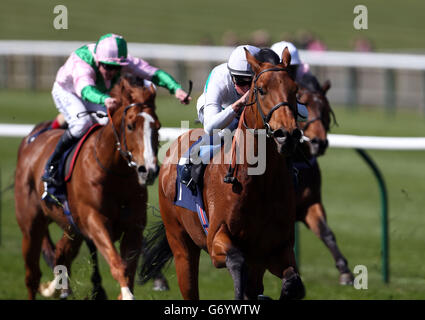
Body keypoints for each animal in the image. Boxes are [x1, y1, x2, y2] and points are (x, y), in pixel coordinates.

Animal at [14, 75, 161, 300]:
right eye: (130, 126)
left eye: (157, 127)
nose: (149, 170)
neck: (115, 174)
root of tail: (30, 139)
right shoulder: (95, 221)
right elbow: (118, 265)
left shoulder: (134, 227)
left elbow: (128, 270)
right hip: (31, 225)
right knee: (32, 276)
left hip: (71, 228)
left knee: (61, 257)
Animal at [139, 48, 304, 300]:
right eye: (261, 89)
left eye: (295, 89)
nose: (287, 134)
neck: (259, 183)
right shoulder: (216, 238)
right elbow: (236, 261)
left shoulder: (276, 248)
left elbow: (293, 283)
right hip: (180, 243)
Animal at [294, 74, 352, 284]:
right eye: (302, 109)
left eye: (325, 110)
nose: (319, 142)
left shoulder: (309, 203)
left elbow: (326, 232)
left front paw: (345, 271)